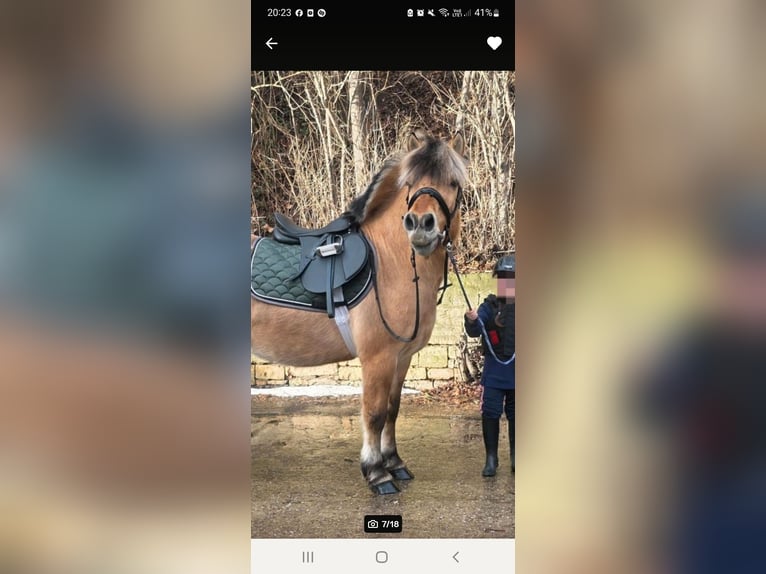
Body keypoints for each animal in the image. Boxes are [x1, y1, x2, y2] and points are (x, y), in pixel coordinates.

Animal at [251, 130, 468, 494]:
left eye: (453, 182)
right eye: (410, 183)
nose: (420, 225)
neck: (388, 262)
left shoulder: (402, 357)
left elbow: (393, 410)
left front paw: (395, 463)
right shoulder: (378, 358)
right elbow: (374, 413)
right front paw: (377, 473)